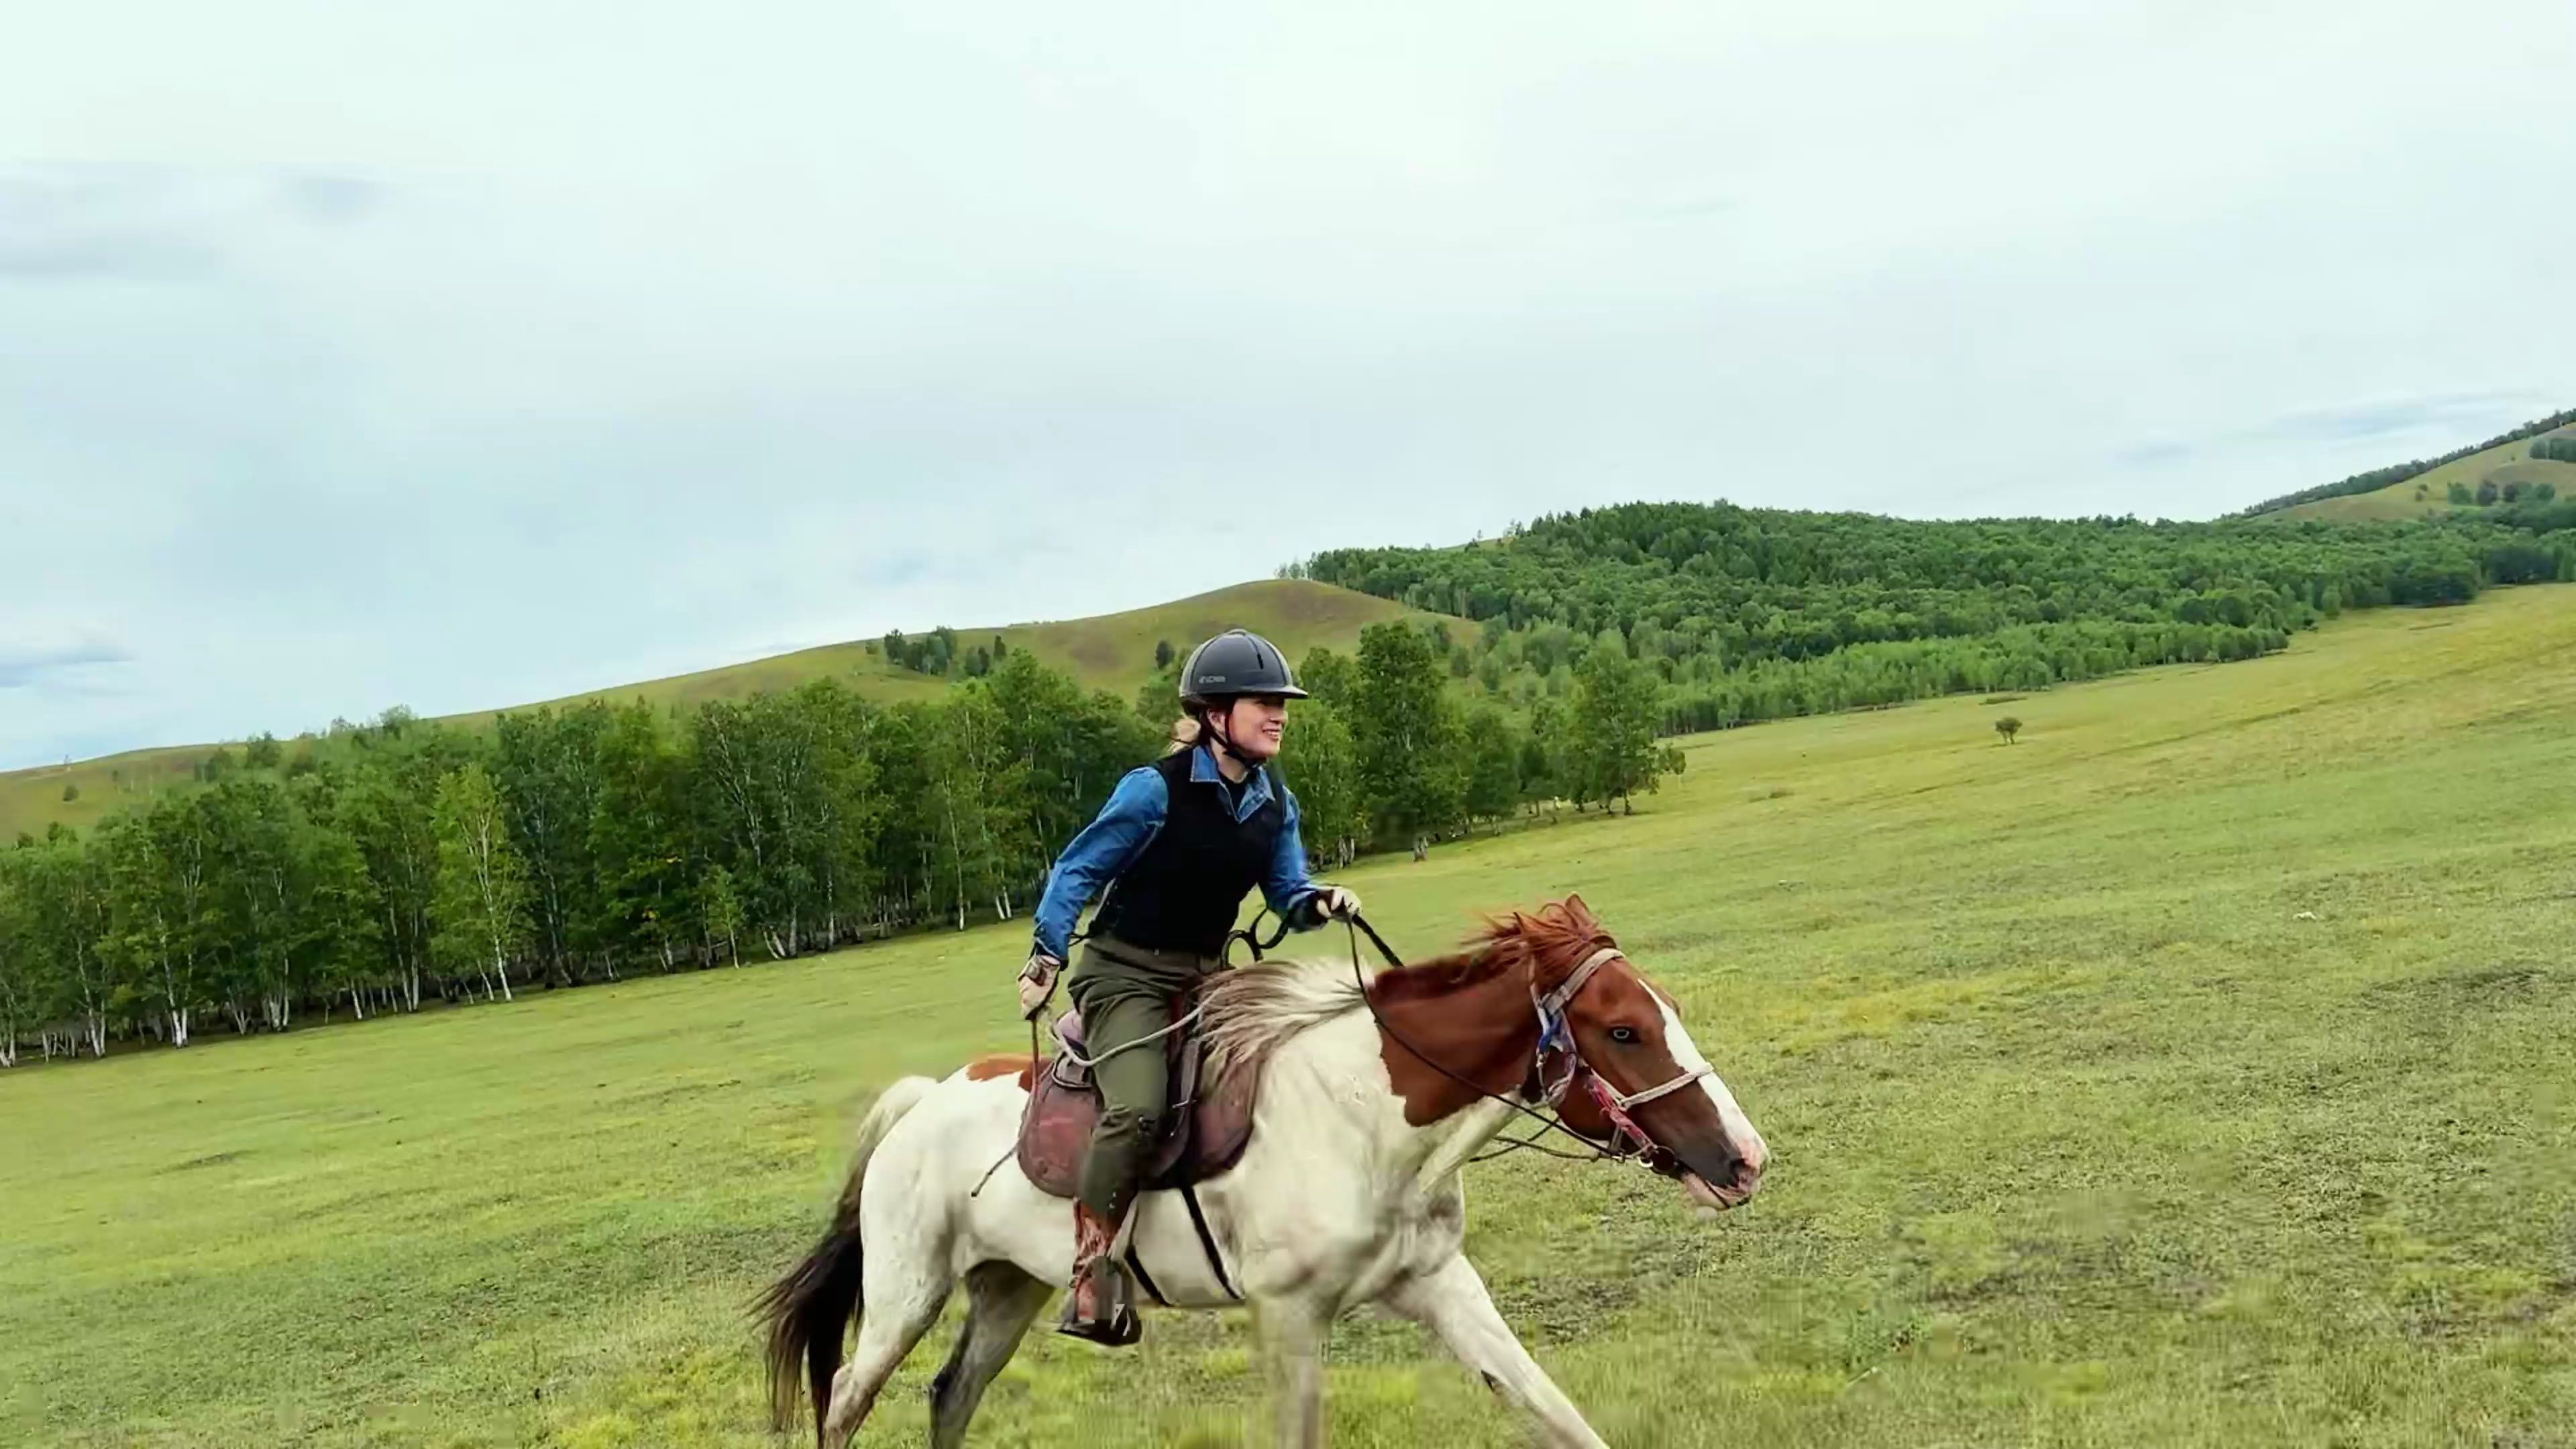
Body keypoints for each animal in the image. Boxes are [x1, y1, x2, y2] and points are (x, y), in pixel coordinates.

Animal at [752, 892, 1782, 1444]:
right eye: (1624, 1030)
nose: (1746, 1159)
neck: (1362, 1120)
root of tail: (921, 1102)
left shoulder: (1442, 1287)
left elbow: (1552, 1409)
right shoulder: (1288, 1316)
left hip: (1008, 1290)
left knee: (950, 1398)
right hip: (904, 1297)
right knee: (845, 1404)